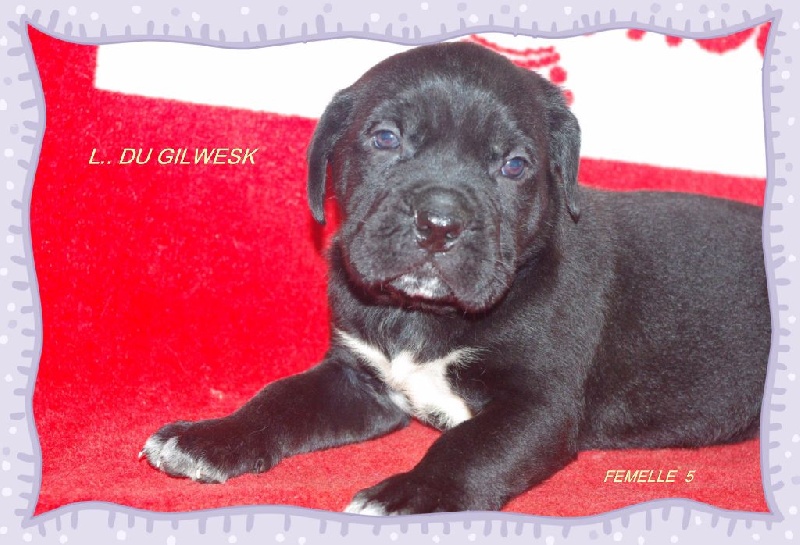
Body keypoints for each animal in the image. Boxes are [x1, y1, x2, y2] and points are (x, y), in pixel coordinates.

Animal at [141, 41, 770, 515]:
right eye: (386, 138)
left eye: (514, 165)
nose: (439, 223)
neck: (420, 315)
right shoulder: (358, 379)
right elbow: (280, 399)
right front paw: (209, 439)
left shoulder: (538, 407)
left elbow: (470, 447)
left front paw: (411, 495)